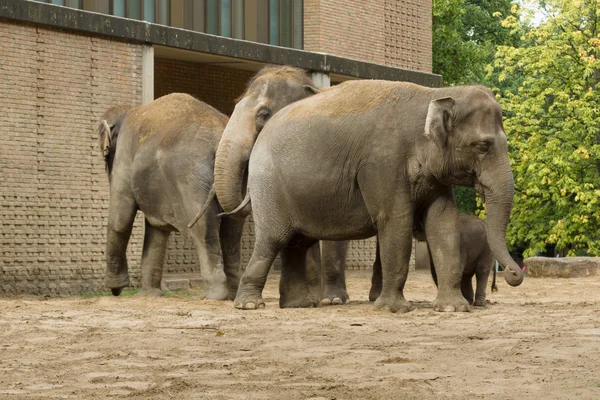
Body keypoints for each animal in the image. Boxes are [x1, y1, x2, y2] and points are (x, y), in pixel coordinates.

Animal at [97, 93, 243, 300]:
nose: (116, 293)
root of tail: (219, 138)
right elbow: (157, 229)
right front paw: (151, 294)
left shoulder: (123, 158)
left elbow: (121, 220)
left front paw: (116, 288)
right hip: (234, 176)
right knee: (232, 231)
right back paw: (233, 295)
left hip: (191, 178)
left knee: (204, 230)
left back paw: (215, 296)